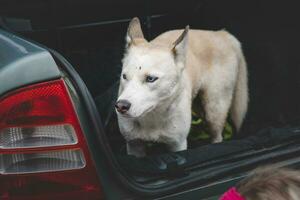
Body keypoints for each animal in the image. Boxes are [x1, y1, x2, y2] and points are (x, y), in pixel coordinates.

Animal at [115, 17, 248, 158]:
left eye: (150, 78)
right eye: (124, 76)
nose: (121, 106)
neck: (153, 117)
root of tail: (221, 34)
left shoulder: (177, 145)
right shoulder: (134, 145)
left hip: (214, 110)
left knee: (217, 136)